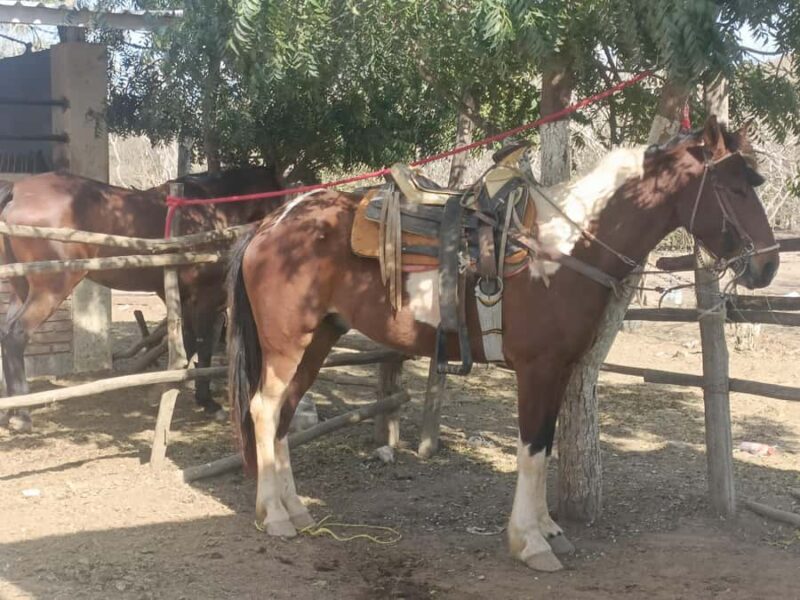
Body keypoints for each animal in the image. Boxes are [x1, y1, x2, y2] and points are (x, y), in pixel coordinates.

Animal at [0, 166, 285, 432]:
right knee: (16, 335)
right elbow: (202, 345)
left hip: (21, 288)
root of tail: (18, 191)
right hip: (51, 288)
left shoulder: (183, 297)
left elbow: (189, 342)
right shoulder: (205, 297)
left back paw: (12, 410)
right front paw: (204, 401)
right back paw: (22, 415)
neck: (210, 210)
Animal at [226, 117, 779, 571]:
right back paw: (274, 517)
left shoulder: (559, 370)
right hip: (287, 345)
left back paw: (296, 510)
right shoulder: (539, 368)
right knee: (264, 410)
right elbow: (532, 447)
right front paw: (529, 542)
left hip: (318, 339)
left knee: (283, 415)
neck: (562, 249)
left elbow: (546, 443)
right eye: (732, 186)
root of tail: (270, 224)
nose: (768, 265)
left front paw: (549, 529)